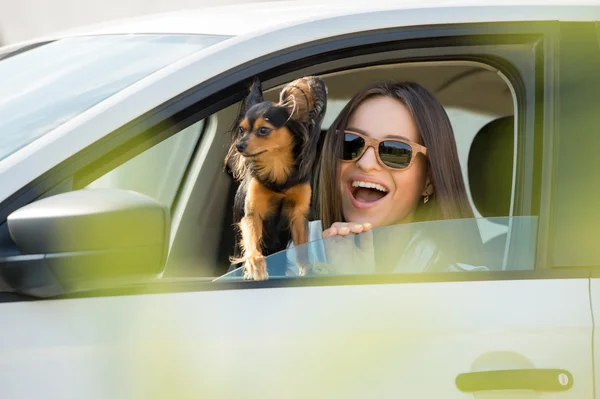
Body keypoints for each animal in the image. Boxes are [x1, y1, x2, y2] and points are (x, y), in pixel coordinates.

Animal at [225, 76, 328, 282]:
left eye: (263, 130)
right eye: (241, 130)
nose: (239, 145)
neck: (277, 168)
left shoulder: (298, 215)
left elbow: (302, 249)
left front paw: (306, 270)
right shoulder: (252, 214)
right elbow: (252, 241)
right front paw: (255, 265)